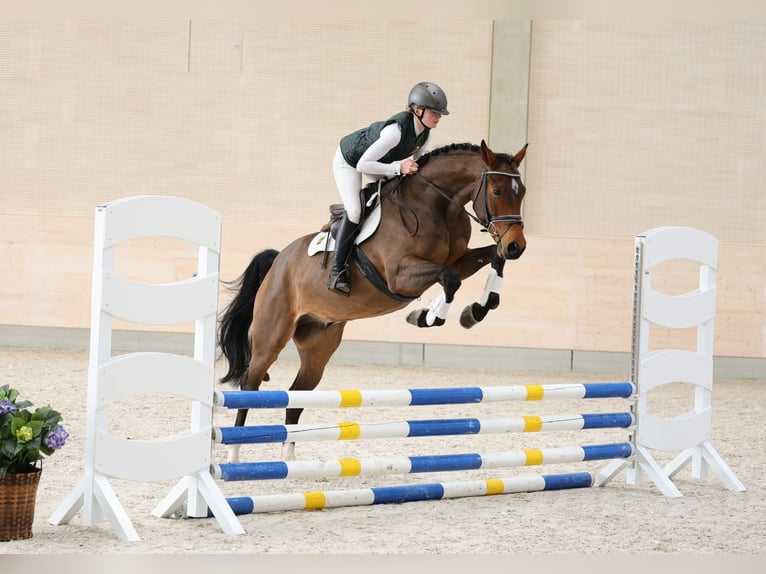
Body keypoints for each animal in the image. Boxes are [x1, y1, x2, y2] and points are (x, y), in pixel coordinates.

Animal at [218, 140, 528, 461]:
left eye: (523, 192)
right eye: (497, 191)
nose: (516, 246)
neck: (438, 206)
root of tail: (278, 261)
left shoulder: (460, 259)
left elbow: (488, 261)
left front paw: (475, 311)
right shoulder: (399, 275)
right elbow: (450, 277)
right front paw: (429, 317)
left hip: (318, 346)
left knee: (296, 397)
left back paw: (289, 461)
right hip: (271, 337)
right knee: (249, 387)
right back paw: (235, 455)